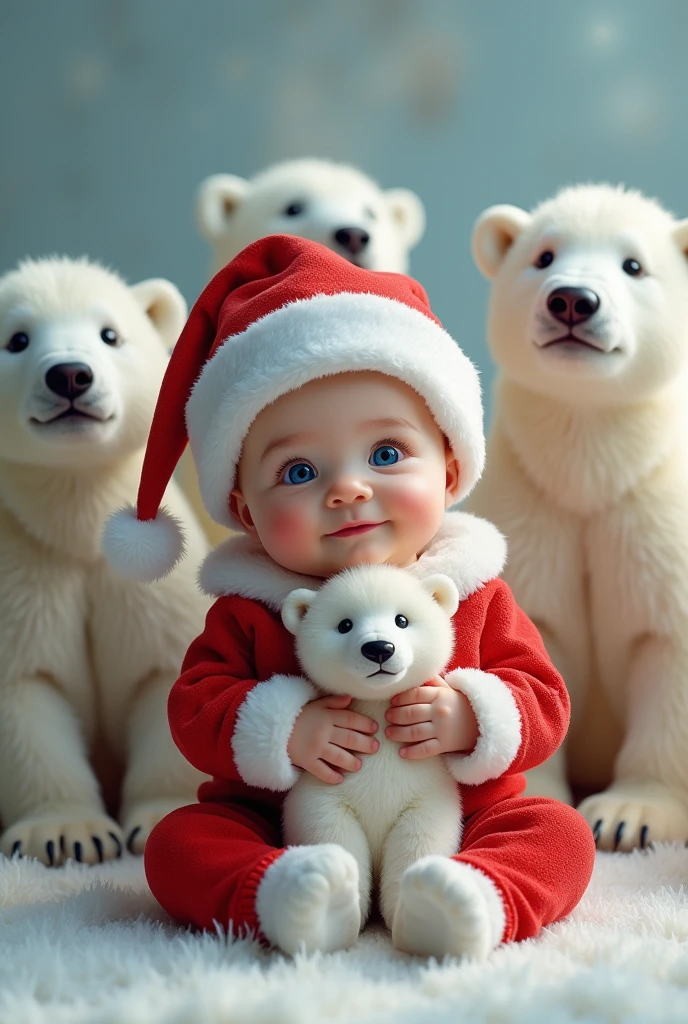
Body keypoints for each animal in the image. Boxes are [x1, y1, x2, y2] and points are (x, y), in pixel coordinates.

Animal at [0, 256, 209, 864]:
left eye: (110, 334)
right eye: (16, 339)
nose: (70, 375)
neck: (79, 530)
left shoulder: (149, 590)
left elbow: (165, 676)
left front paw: (162, 815)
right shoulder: (23, 573)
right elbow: (26, 694)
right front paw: (66, 835)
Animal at [278, 565, 462, 937]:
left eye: (402, 620)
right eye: (344, 624)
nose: (379, 648)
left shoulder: (427, 794)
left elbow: (419, 840)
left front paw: (412, 907)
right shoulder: (324, 793)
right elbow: (331, 833)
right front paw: (341, 904)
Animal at [466, 186, 688, 856]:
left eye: (634, 265)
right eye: (542, 256)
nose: (572, 299)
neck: (589, 478)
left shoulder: (652, 518)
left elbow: (666, 649)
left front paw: (627, 815)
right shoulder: (535, 513)